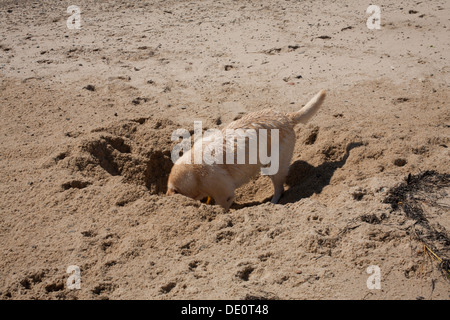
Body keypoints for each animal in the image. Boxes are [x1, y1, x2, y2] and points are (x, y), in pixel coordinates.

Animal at [167, 89, 326, 210]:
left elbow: (223, 208)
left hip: (277, 166)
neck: (193, 173)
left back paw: (272, 203)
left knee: (279, 189)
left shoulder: (224, 194)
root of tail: (286, 117)